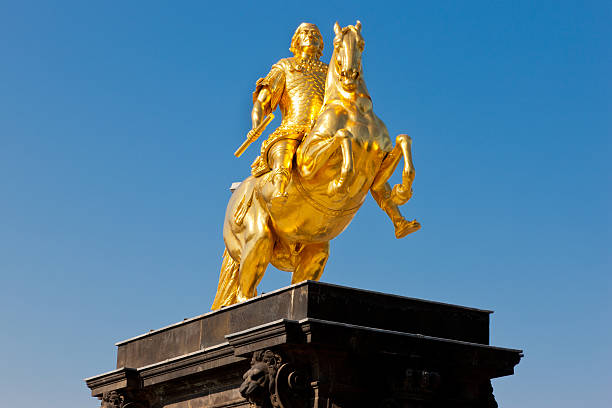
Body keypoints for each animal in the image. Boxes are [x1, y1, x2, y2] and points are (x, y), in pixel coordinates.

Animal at [213, 21, 418, 310]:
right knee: (244, 294)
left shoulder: (379, 163)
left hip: (315, 249)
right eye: (337, 43)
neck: (354, 110)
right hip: (257, 239)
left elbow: (403, 141)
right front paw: (341, 182)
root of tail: (236, 193)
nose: (349, 75)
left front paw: (401, 192)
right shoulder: (308, 163)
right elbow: (342, 137)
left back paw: (403, 224)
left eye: (361, 43)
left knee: (296, 279)